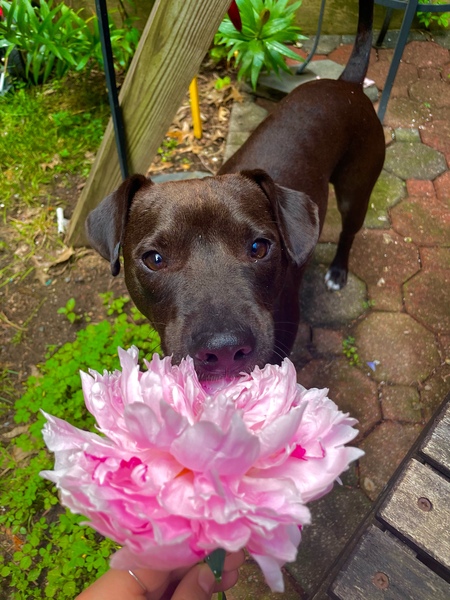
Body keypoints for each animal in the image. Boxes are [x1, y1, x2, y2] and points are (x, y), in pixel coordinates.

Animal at [86, 0, 384, 382]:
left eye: (259, 247)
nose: (225, 349)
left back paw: (337, 272)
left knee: (349, 230)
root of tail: (347, 85)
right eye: (154, 259)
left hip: (355, 190)